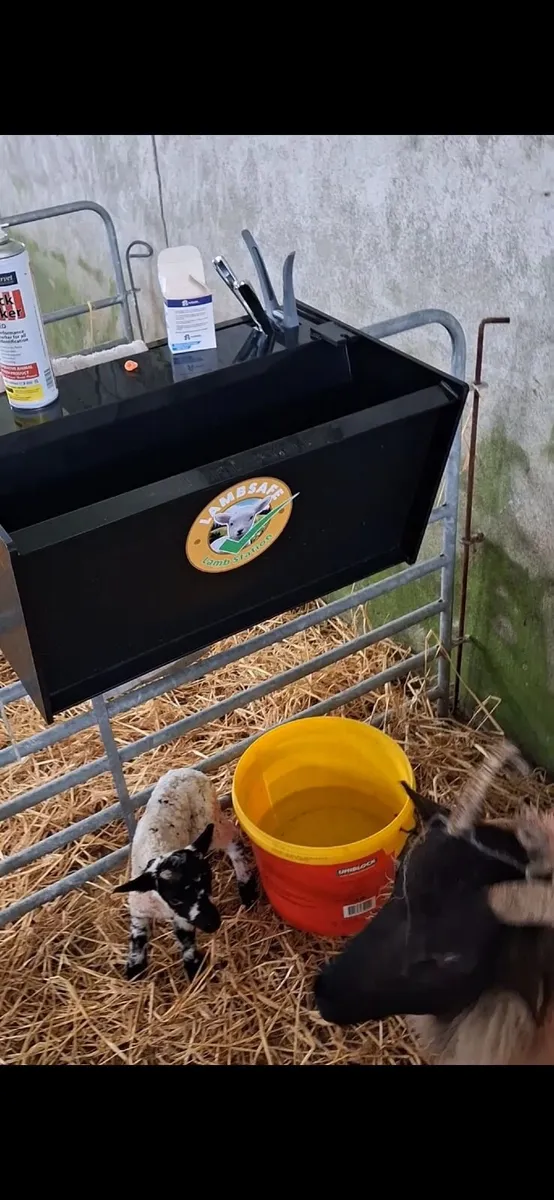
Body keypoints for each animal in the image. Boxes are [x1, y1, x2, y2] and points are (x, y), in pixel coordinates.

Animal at [114, 767, 258, 981]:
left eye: (208, 882)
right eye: (174, 899)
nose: (213, 923)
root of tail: (188, 771)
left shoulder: (183, 918)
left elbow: (186, 939)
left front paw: (193, 967)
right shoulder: (139, 906)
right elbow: (138, 936)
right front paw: (134, 967)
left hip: (208, 820)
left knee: (232, 837)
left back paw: (245, 886)